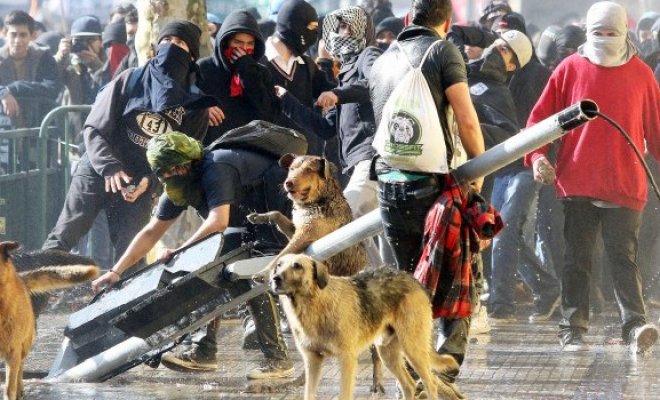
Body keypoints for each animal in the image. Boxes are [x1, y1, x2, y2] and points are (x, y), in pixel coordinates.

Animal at [268, 255, 458, 398]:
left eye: (297, 266)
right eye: (279, 265)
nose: (275, 279)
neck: (316, 304)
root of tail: (415, 280)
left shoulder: (347, 359)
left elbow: (344, 394)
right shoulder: (312, 361)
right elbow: (309, 394)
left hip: (413, 349)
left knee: (430, 384)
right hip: (387, 353)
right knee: (409, 385)